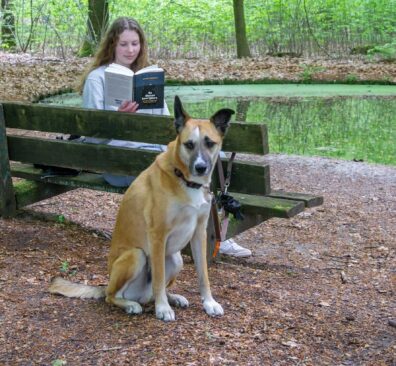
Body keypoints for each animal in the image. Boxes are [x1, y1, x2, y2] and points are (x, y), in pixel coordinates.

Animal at [49, 96, 235, 322]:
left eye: (210, 143)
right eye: (189, 144)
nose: (201, 167)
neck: (184, 180)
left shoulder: (199, 233)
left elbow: (203, 275)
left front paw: (209, 303)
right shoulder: (157, 235)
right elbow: (158, 278)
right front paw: (162, 308)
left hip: (176, 259)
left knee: (155, 289)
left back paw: (172, 298)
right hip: (136, 255)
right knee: (112, 296)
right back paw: (131, 304)